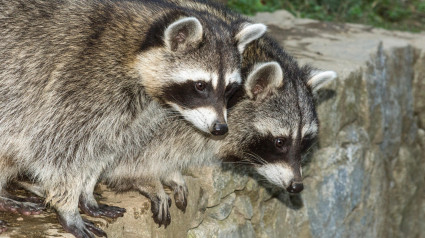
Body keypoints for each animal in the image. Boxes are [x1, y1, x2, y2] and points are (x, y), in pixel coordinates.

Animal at [0, 0, 264, 235]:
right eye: (200, 86)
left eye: (230, 89)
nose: (220, 128)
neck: (135, 54)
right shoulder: (80, 81)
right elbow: (61, 150)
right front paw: (68, 207)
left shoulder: (134, 114)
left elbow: (103, 148)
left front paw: (87, 192)